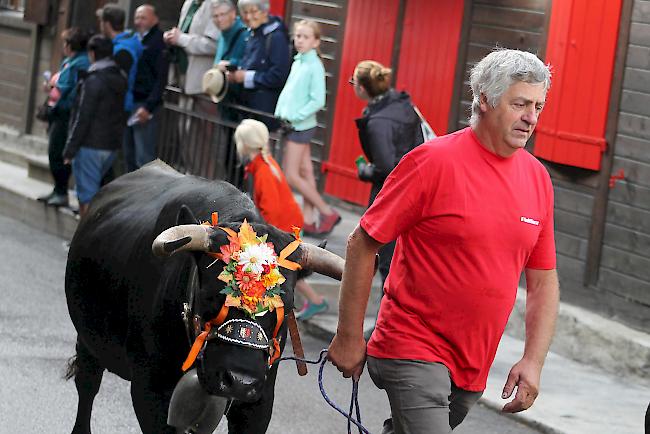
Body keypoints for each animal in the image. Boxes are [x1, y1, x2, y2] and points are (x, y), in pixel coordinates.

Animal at [62, 161, 342, 432]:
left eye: (288, 303)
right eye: (212, 294)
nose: (240, 381)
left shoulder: (259, 403)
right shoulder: (150, 389)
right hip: (88, 340)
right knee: (87, 385)